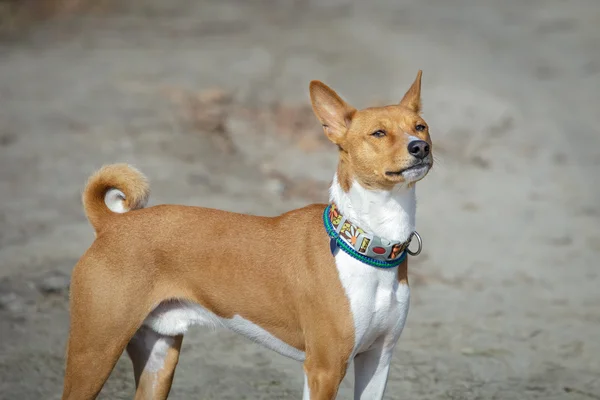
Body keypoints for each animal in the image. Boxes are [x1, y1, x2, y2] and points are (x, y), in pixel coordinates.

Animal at [62, 70, 432, 398]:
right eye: (379, 133)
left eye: (421, 127)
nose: (420, 148)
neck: (369, 244)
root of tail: (112, 224)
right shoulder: (324, 368)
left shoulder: (377, 360)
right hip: (95, 352)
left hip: (158, 357)